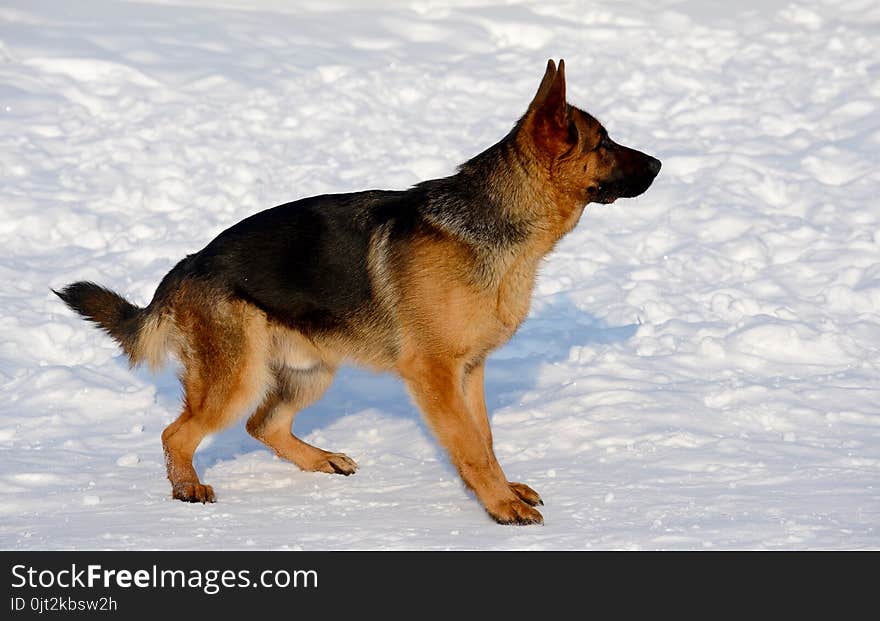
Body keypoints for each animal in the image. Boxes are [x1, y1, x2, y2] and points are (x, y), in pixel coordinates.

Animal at [55, 59, 656, 524]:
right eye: (603, 143)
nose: (659, 163)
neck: (492, 224)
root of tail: (185, 267)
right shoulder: (434, 374)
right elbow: (469, 445)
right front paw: (500, 506)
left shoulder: (470, 371)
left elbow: (483, 439)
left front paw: (502, 492)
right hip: (238, 378)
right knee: (177, 434)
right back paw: (188, 489)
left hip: (312, 371)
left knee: (262, 424)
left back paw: (319, 460)